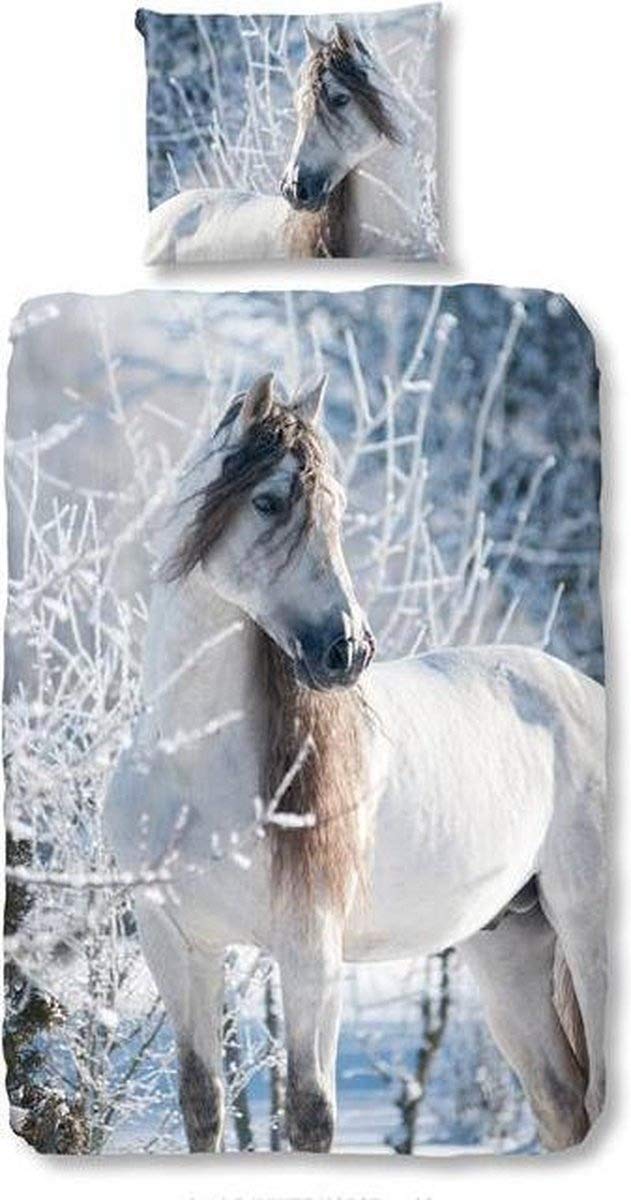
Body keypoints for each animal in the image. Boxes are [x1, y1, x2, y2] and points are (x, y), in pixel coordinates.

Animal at [104, 373, 607, 1154]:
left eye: (337, 508)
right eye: (268, 501)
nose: (348, 650)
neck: (192, 765)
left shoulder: (311, 950)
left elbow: (311, 1114)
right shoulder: (177, 946)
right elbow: (202, 1102)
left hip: (589, 934)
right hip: (509, 949)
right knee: (561, 1104)